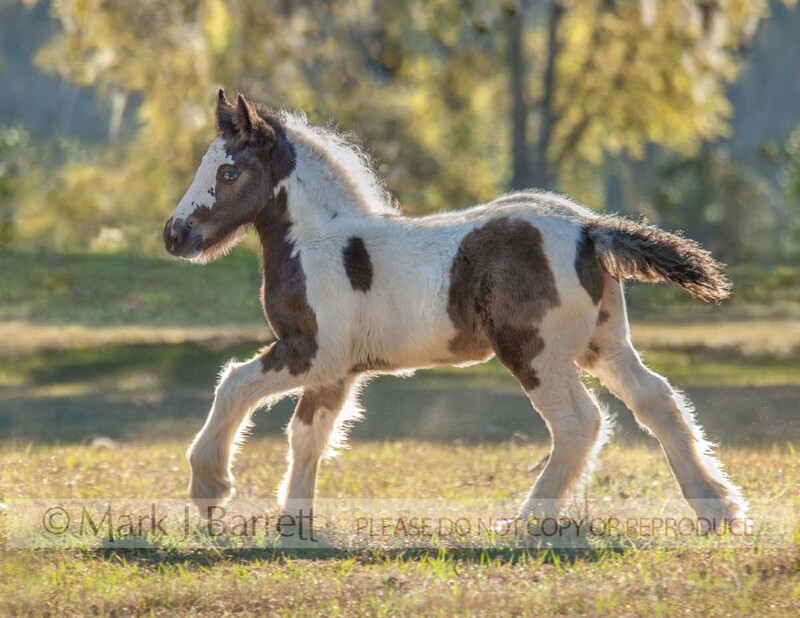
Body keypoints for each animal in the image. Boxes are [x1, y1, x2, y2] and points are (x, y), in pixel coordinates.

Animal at [164, 90, 746, 531]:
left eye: (229, 172)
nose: (174, 235)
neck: (318, 242)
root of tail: (589, 228)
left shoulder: (313, 352)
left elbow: (234, 383)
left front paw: (210, 486)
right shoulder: (338, 370)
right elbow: (308, 435)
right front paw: (294, 527)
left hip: (535, 353)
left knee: (580, 423)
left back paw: (525, 524)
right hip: (603, 344)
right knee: (657, 400)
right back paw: (718, 509)